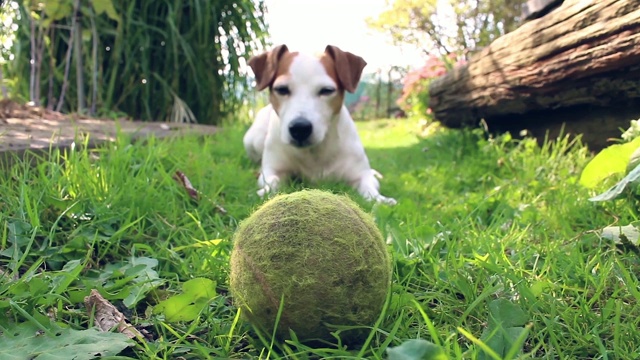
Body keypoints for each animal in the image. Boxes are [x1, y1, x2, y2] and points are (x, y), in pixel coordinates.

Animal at [244, 44, 396, 205]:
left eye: (327, 90)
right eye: (282, 89)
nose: (300, 128)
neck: (314, 153)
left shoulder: (361, 173)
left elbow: (369, 186)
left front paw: (380, 200)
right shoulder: (273, 170)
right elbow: (271, 180)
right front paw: (265, 192)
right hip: (253, 140)